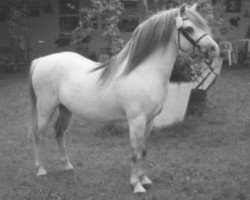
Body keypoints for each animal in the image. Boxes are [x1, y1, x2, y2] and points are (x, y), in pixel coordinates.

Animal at [29, 3, 219, 193]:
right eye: (189, 28)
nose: (214, 49)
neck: (144, 72)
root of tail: (40, 61)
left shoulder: (149, 121)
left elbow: (143, 150)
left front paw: (144, 179)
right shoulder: (136, 120)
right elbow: (135, 152)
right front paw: (137, 185)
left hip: (66, 109)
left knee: (59, 133)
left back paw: (67, 165)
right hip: (46, 109)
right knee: (39, 134)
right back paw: (41, 169)